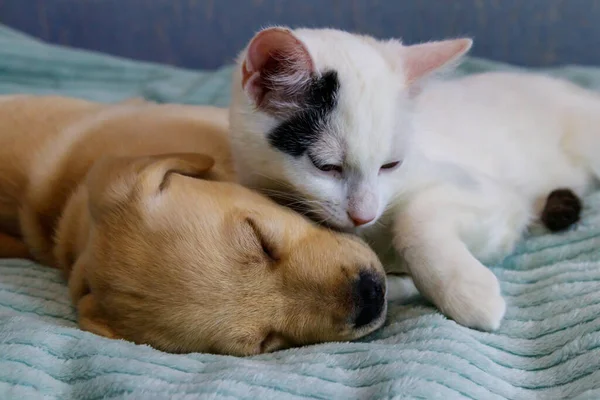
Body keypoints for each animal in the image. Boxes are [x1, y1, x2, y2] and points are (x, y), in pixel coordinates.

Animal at [227, 26, 596, 330]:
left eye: (390, 165)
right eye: (326, 166)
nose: (363, 215)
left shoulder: (497, 199)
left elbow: (416, 219)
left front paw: (468, 291)